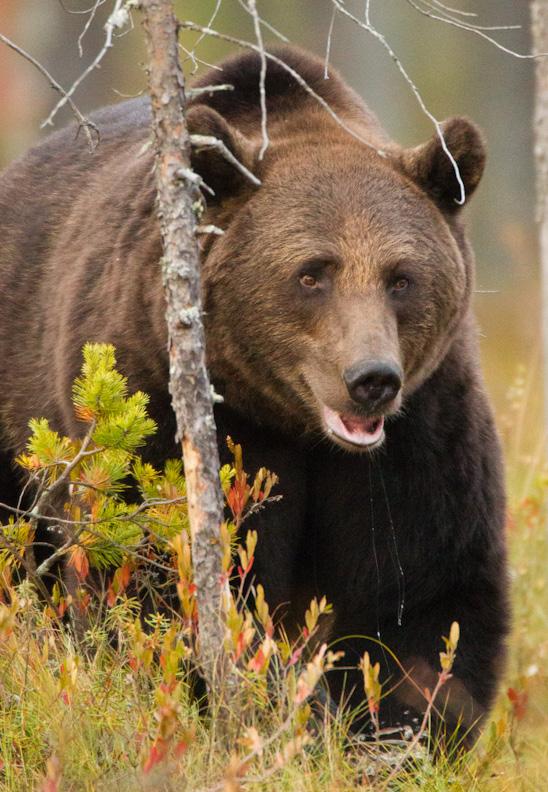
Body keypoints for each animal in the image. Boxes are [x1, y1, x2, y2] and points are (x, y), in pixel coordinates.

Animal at [0, 48, 510, 744]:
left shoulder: (421, 432)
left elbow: (424, 592)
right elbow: (154, 577)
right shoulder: (159, 400)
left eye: (401, 277)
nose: (372, 379)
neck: (292, 423)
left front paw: (393, 729)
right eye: (312, 273)